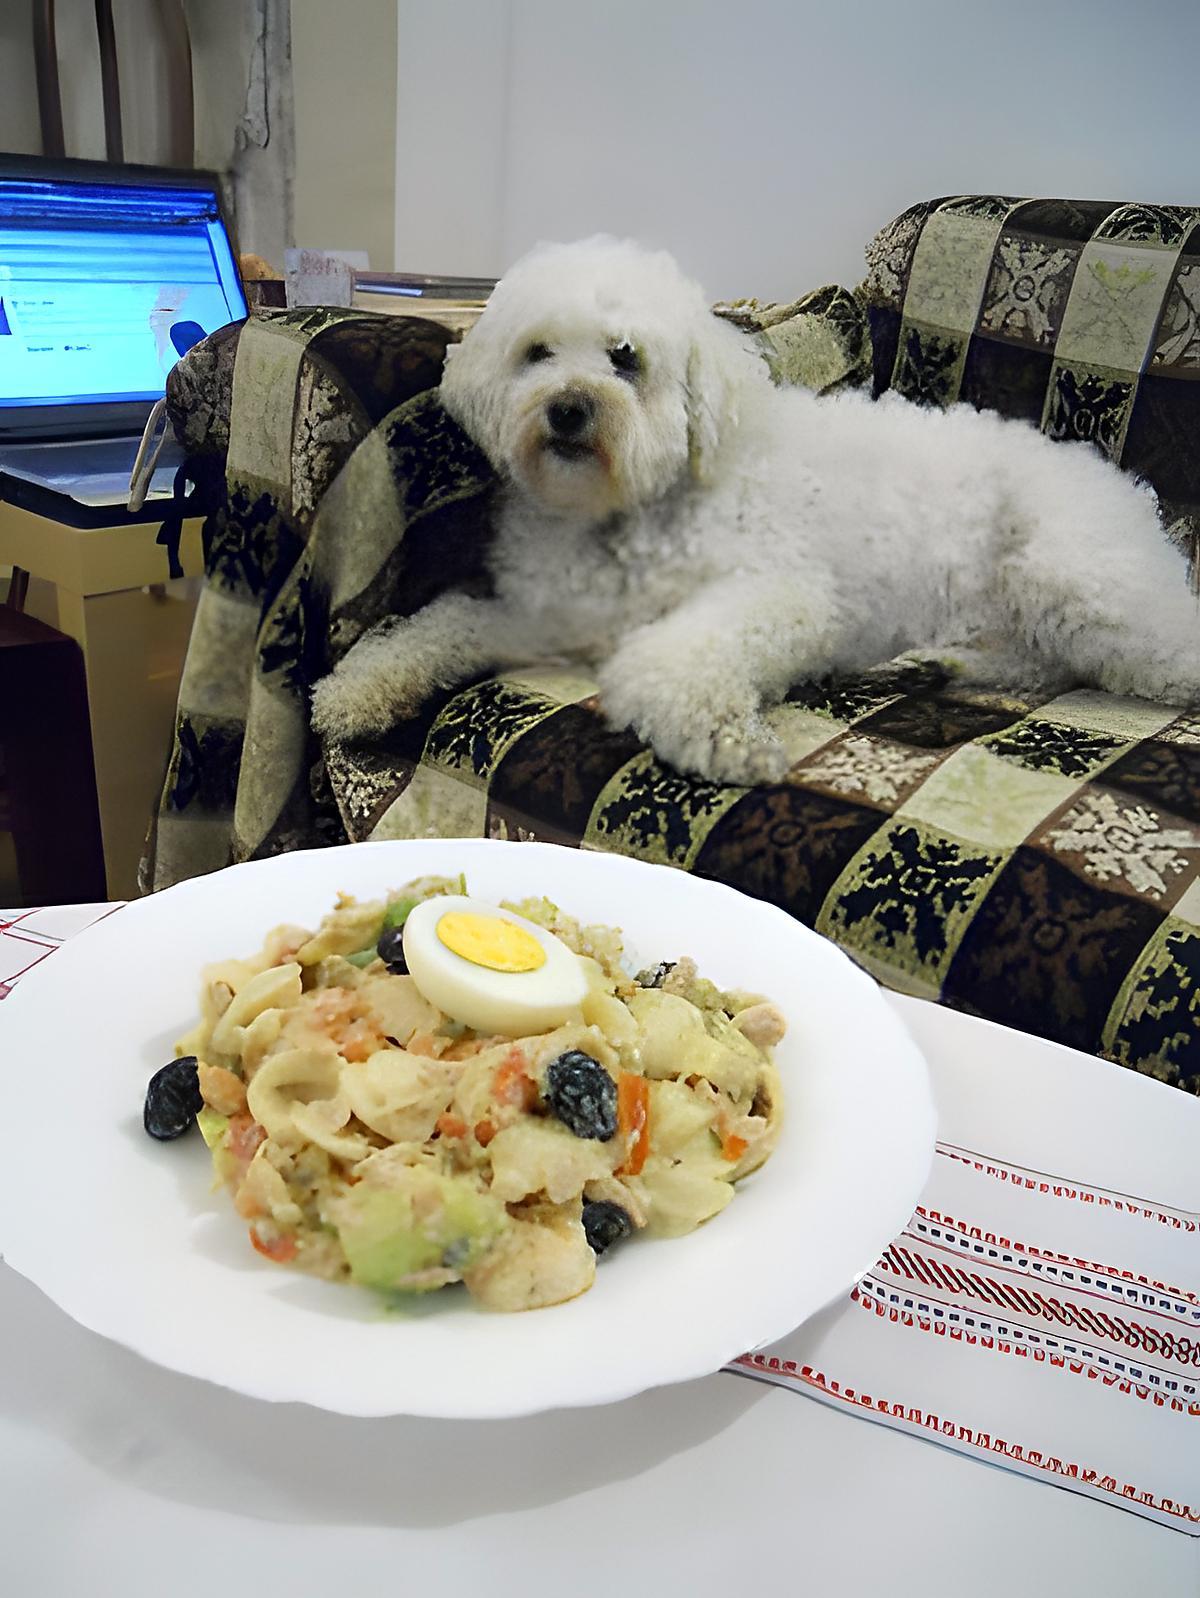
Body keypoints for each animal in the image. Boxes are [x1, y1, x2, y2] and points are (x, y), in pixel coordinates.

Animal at [311, 234, 1200, 779]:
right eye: (537, 353)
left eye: (625, 358)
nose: (567, 409)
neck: (623, 518)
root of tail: (1124, 493)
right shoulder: (542, 619)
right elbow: (438, 625)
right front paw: (356, 690)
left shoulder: (780, 594)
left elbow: (671, 657)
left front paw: (724, 739)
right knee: (1040, 661)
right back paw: (931, 664)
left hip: (1074, 578)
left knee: (1149, 659)